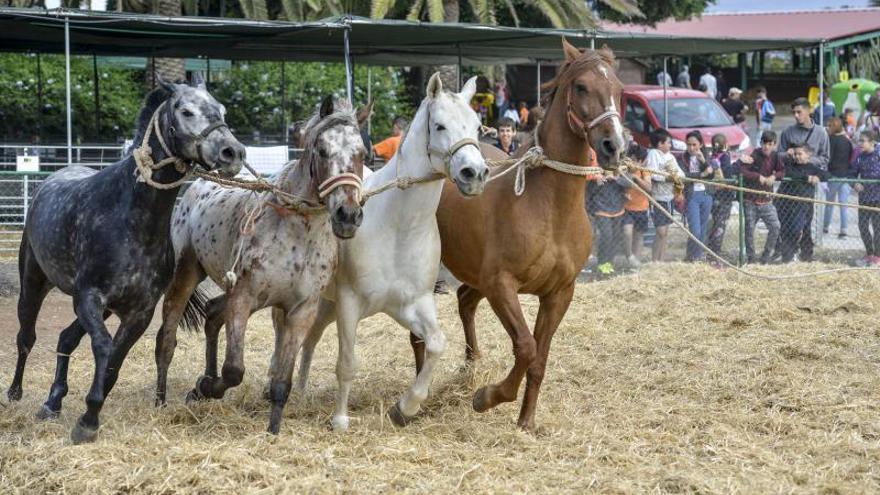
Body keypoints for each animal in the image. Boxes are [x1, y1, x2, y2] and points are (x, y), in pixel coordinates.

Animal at [153, 96, 366, 434]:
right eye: (322, 150)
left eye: (362, 153)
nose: (348, 215)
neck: (297, 234)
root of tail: (196, 188)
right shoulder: (244, 297)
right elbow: (233, 370)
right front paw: (206, 387)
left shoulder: (301, 310)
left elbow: (282, 381)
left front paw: (273, 429)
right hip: (185, 275)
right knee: (167, 339)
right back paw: (162, 400)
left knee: (212, 315)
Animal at [294, 72, 492, 430]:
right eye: (439, 125)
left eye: (477, 126)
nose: (475, 174)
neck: (398, 227)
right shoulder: (349, 303)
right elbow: (347, 362)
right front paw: (340, 419)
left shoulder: (412, 303)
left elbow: (437, 344)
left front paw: (405, 407)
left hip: (327, 305)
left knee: (311, 338)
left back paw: (300, 391)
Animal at [434, 40, 624, 432]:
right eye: (581, 87)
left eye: (619, 89)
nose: (613, 146)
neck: (549, 208)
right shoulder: (501, 284)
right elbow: (526, 347)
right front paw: (487, 397)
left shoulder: (559, 293)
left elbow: (540, 358)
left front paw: (526, 422)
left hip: (475, 274)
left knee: (464, 302)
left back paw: (471, 365)